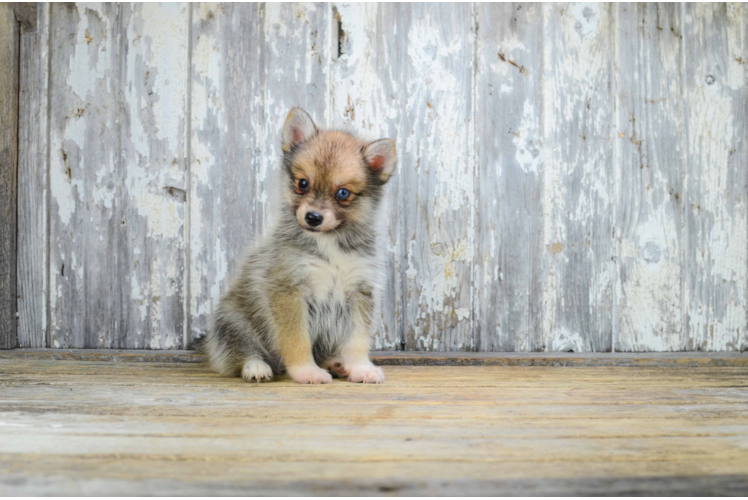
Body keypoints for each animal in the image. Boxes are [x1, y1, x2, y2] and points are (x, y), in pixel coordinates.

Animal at [202, 107, 394, 384]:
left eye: (343, 193)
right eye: (303, 183)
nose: (313, 217)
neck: (329, 242)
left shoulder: (359, 292)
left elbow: (357, 340)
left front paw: (360, 368)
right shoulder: (289, 291)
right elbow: (297, 340)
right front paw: (306, 371)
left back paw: (336, 364)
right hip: (232, 321)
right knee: (241, 352)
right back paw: (256, 367)